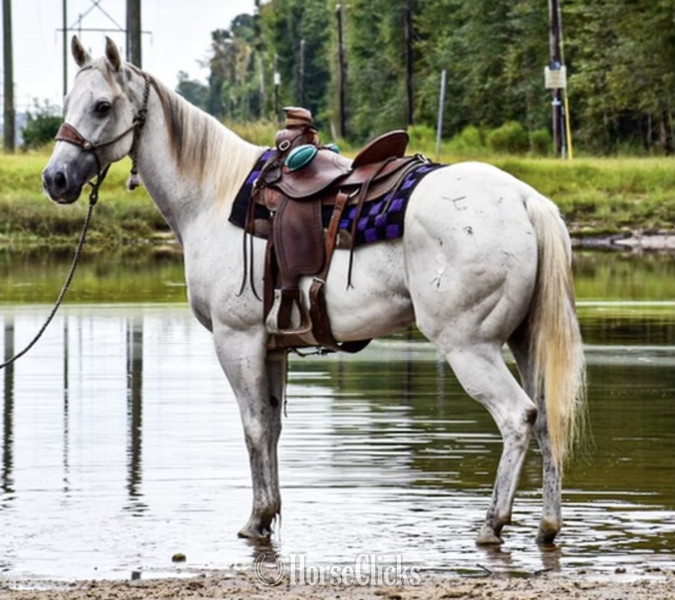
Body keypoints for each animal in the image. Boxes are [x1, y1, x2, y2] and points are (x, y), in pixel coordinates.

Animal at [42, 37, 586, 546]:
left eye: (102, 106)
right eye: (69, 101)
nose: (55, 178)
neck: (215, 197)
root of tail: (523, 199)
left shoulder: (237, 341)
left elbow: (254, 427)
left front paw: (255, 520)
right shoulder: (271, 347)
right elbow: (271, 427)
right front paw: (267, 515)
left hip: (469, 347)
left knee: (518, 417)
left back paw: (492, 524)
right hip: (524, 340)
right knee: (545, 420)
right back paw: (547, 526)